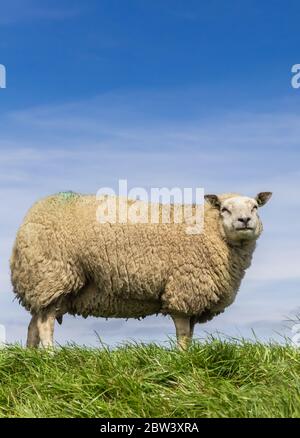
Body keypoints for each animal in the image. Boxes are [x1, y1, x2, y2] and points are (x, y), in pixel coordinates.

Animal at [9, 191, 272, 350]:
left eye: (255, 207)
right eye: (224, 209)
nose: (245, 220)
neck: (211, 230)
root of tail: (30, 216)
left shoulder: (193, 298)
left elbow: (190, 333)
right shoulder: (183, 290)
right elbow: (183, 333)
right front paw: (183, 359)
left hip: (50, 286)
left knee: (34, 324)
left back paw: (31, 358)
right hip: (53, 275)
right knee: (45, 324)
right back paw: (50, 356)